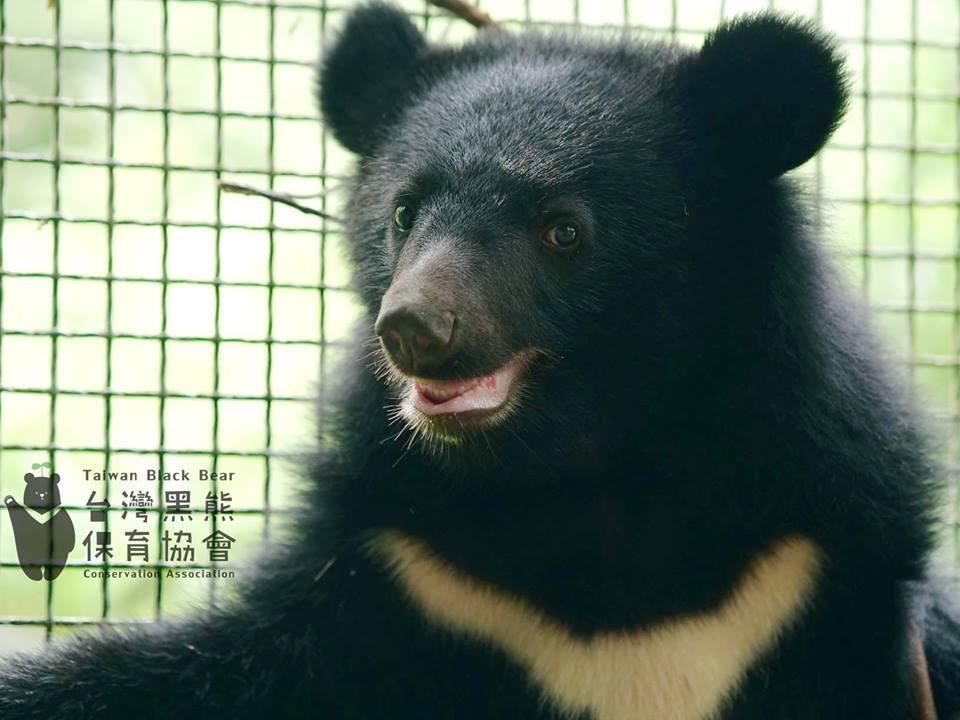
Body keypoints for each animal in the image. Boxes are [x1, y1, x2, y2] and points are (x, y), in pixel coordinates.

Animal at [0, 3, 959, 718]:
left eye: (563, 230)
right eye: (403, 213)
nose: (415, 327)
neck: (585, 482)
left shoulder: (813, 569)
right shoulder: (400, 577)